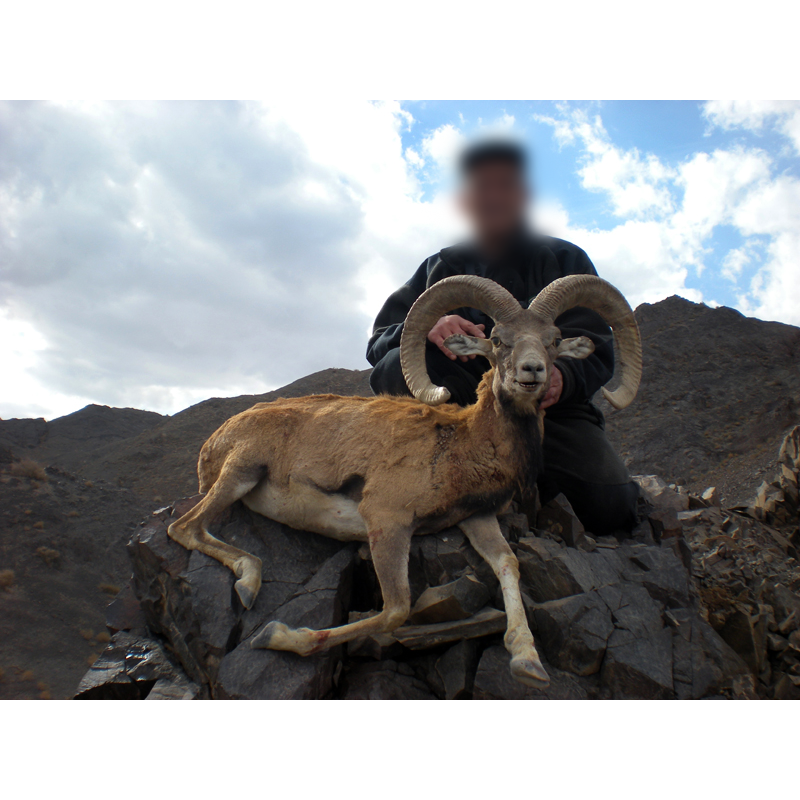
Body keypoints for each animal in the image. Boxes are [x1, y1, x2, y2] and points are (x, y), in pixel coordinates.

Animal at [169, 272, 644, 684]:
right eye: (497, 340)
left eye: (554, 341)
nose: (532, 372)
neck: (461, 443)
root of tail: (219, 436)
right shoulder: (387, 521)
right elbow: (397, 609)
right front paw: (278, 635)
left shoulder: (476, 519)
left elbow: (508, 563)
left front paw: (527, 660)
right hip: (240, 473)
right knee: (185, 527)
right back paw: (250, 583)